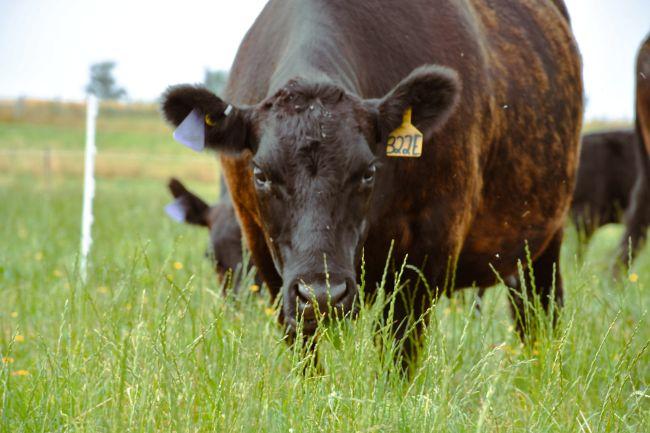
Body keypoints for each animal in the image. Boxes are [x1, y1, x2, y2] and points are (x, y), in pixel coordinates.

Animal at [158, 0, 584, 364]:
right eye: (261, 174)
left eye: (368, 171)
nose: (323, 295)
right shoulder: (268, 256)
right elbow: (304, 349)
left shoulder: (427, 250)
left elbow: (398, 350)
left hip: (543, 244)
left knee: (538, 317)